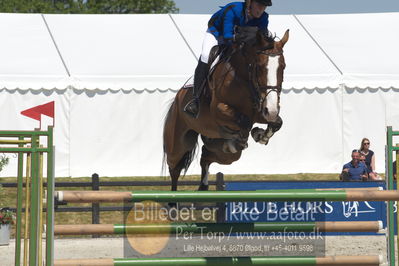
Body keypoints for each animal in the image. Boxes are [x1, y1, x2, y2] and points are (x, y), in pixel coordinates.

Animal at [163, 28, 290, 191]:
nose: (272, 109)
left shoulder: (261, 111)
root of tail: (177, 98)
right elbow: (245, 122)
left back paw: (204, 184)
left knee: (206, 156)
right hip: (178, 144)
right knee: (175, 169)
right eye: (260, 66)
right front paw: (248, 135)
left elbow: (276, 123)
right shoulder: (218, 109)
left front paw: (261, 135)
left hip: (225, 155)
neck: (243, 78)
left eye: (283, 67)